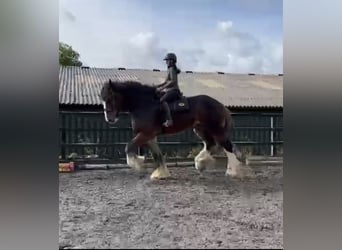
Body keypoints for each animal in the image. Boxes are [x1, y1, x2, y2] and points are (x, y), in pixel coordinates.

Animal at [99, 79, 254, 179]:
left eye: (110, 98)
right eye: (102, 98)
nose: (109, 119)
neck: (143, 104)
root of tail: (220, 105)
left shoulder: (146, 133)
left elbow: (128, 147)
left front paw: (138, 164)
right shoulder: (150, 137)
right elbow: (157, 155)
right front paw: (161, 174)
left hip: (216, 130)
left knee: (228, 147)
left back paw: (232, 172)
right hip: (201, 129)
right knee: (211, 145)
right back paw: (200, 163)